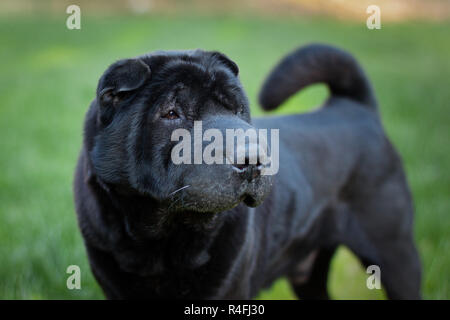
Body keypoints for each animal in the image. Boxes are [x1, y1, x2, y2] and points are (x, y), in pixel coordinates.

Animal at [73, 43, 422, 298]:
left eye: (238, 110)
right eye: (172, 113)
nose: (253, 158)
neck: (159, 238)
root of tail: (356, 108)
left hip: (394, 252)